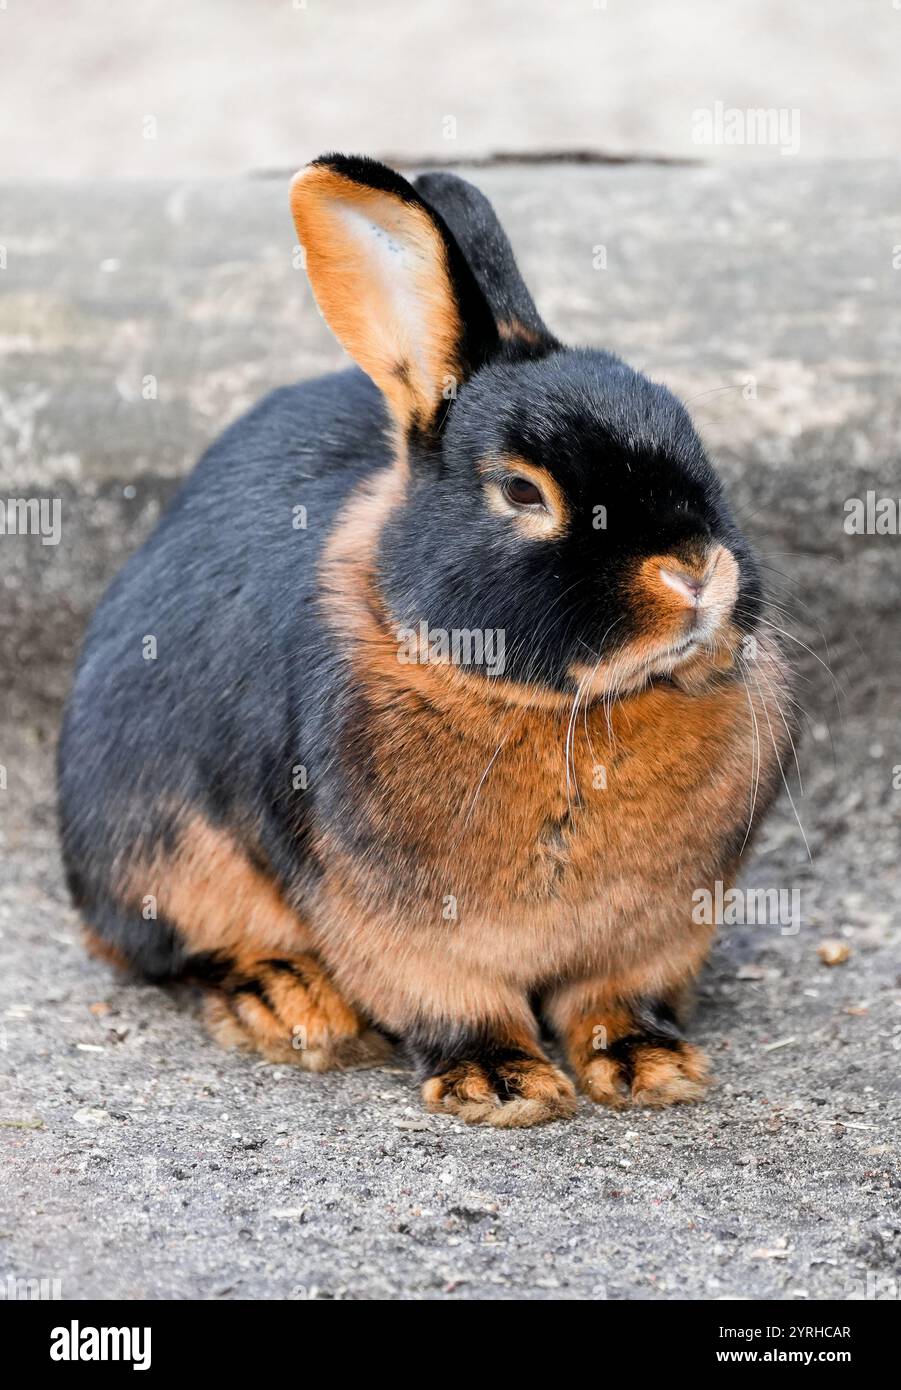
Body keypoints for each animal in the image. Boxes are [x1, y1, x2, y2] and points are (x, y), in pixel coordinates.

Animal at [57, 153, 795, 1127]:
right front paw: (502, 1087)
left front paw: (652, 1068)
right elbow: (457, 1005)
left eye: (691, 439)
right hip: (156, 854)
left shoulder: (659, 930)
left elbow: (613, 1001)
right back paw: (288, 1003)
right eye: (521, 491)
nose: (697, 570)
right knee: (179, 953)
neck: (560, 709)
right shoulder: (390, 923)